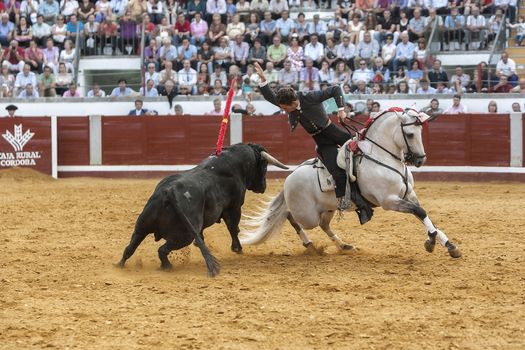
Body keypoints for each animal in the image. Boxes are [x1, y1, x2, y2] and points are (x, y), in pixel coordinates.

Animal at [116, 144, 286, 278]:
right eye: (264, 166)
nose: (263, 187)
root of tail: (169, 192)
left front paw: (201, 244)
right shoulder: (234, 207)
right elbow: (233, 228)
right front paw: (238, 249)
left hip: (141, 228)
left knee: (129, 248)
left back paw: (119, 265)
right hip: (183, 236)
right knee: (162, 250)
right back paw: (167, 266)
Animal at [239, 109, 460, 260]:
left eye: (420, 132)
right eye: (411, 134)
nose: (421, 159)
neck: (383, 156)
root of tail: (290, 177)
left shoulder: (409, 194)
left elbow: (423, 213)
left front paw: (445, 243)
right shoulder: (389, 201)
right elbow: (419, 211)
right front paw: (433, 241)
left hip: (328, 207)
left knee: (323, 225)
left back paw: (344, 246)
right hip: (307, 215)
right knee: (292, 217)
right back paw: (310, 245)